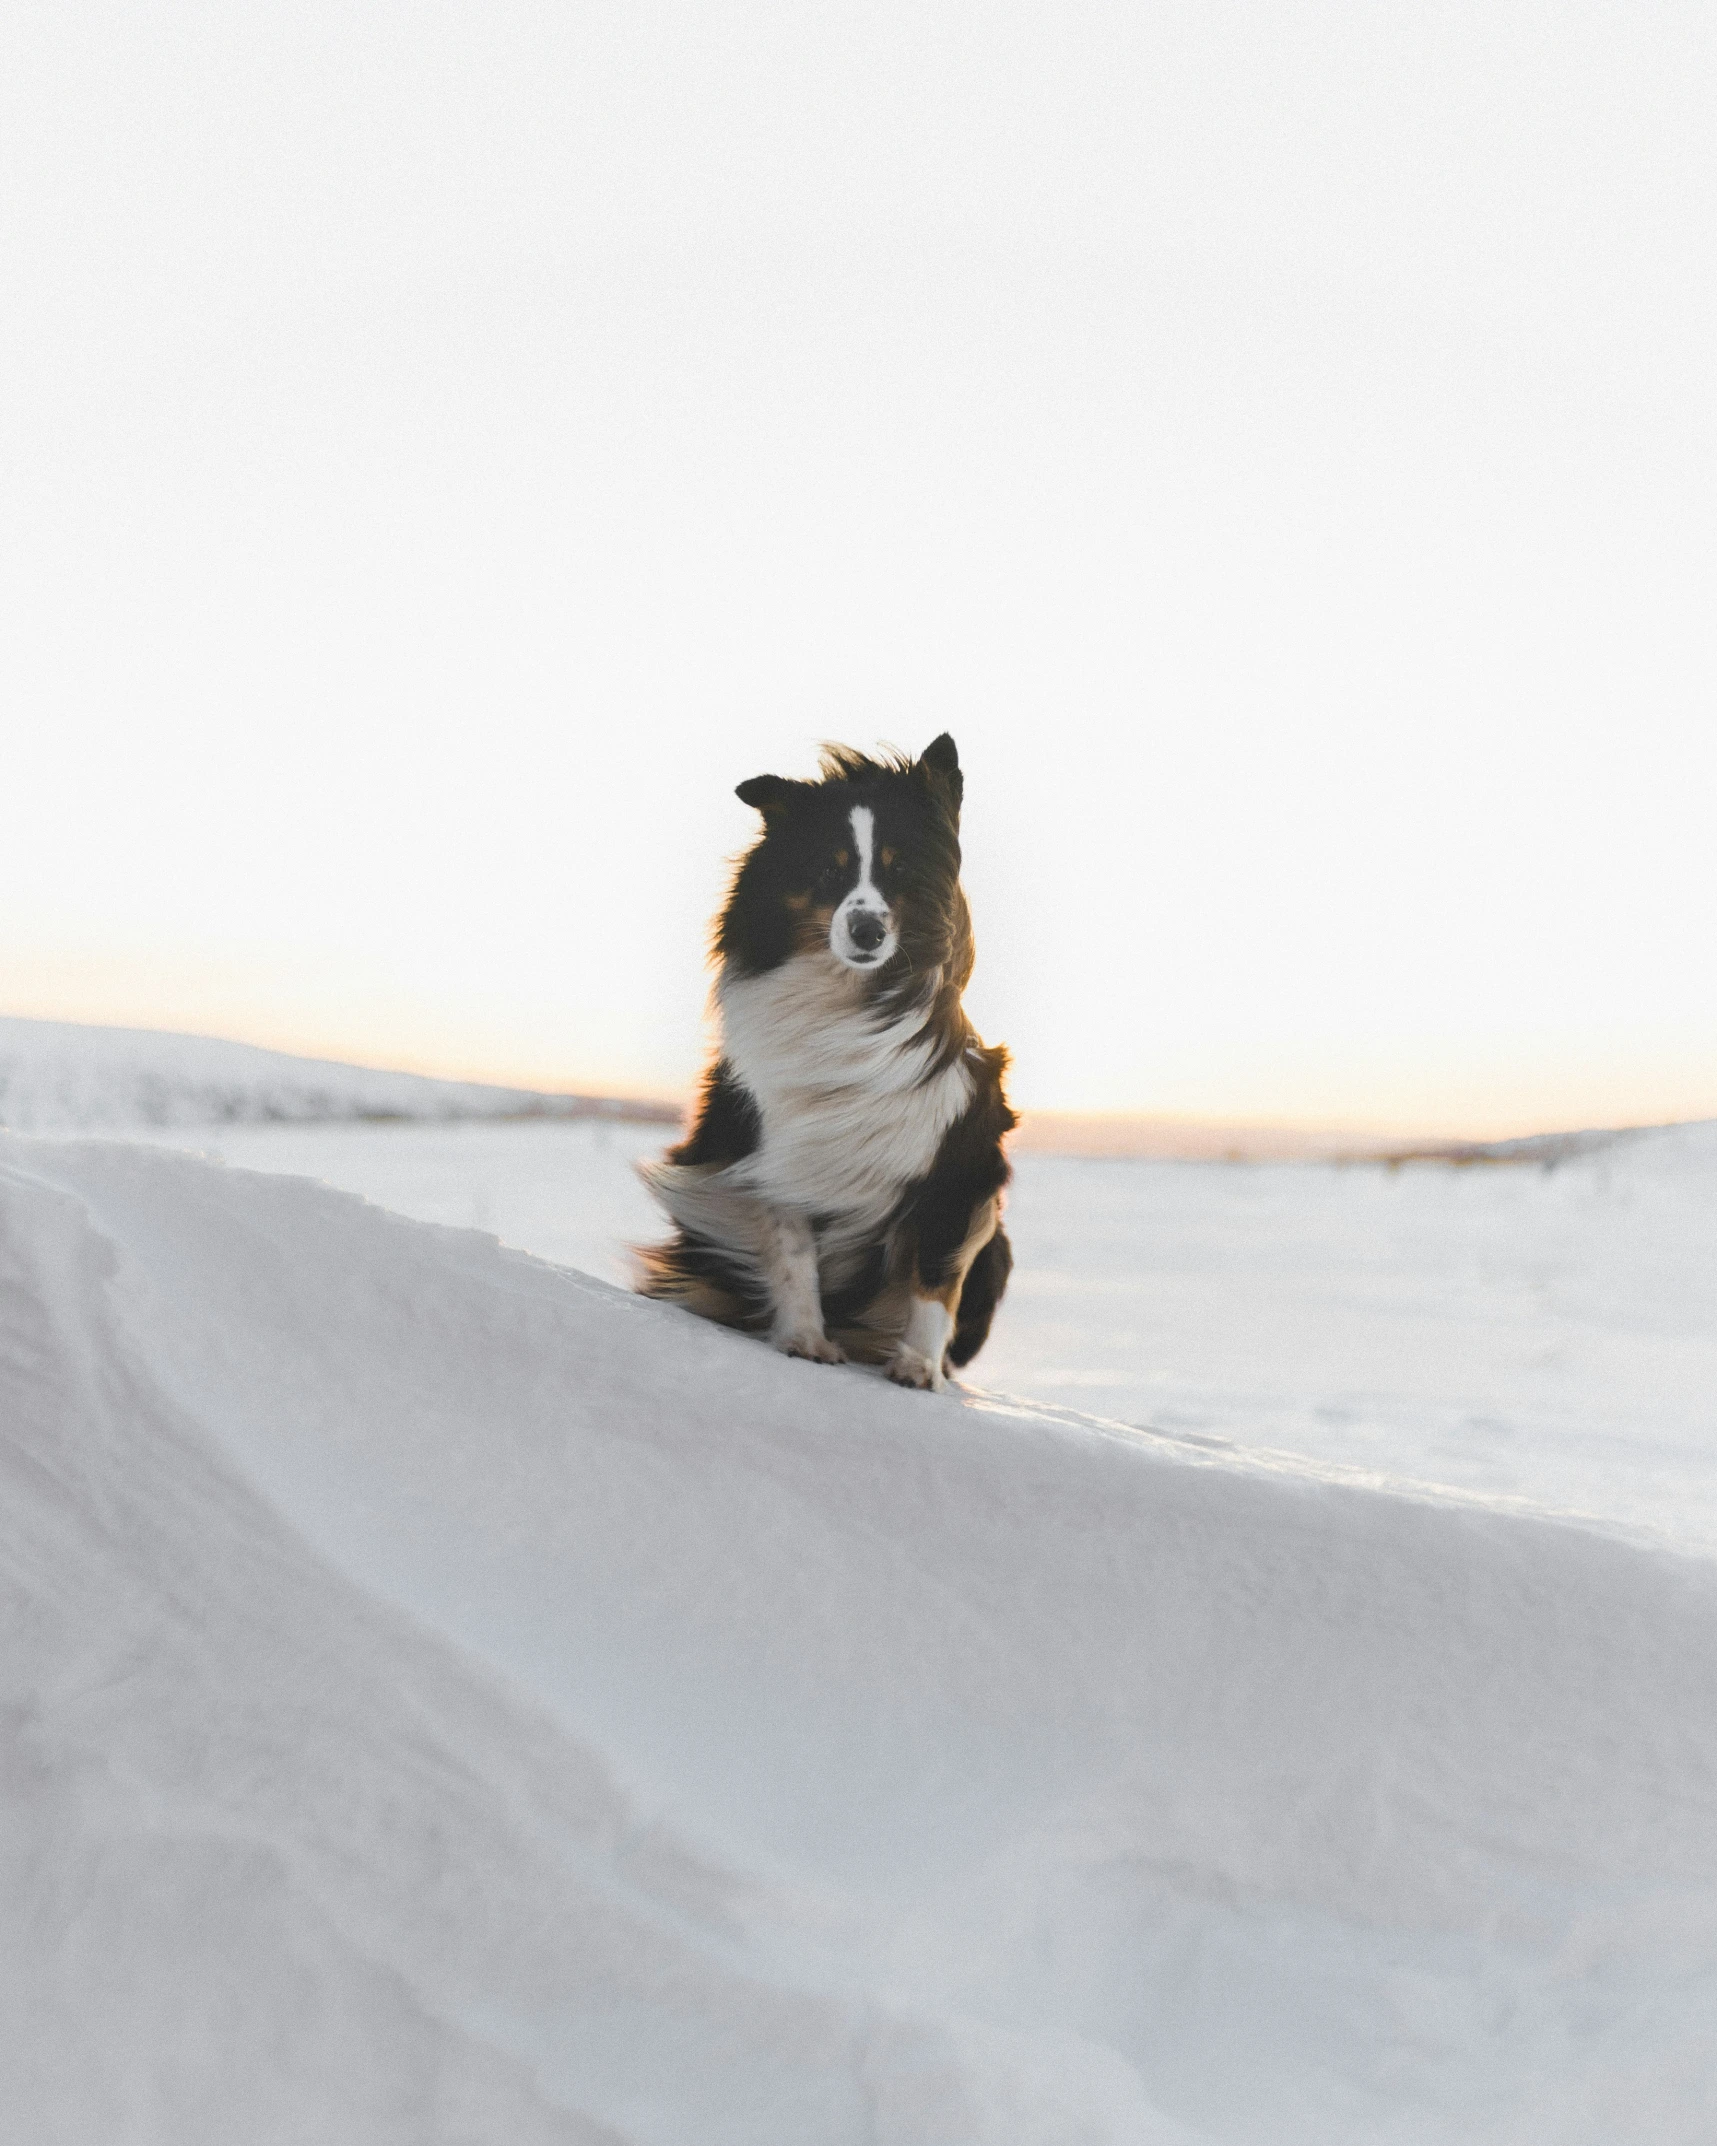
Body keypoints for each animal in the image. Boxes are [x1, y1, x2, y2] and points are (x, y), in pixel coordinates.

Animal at [643, 729, 1021, 1382]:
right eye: (827, 869)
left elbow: (935, 1277)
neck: (850, 997)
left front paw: (918, 1369)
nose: (868, 932)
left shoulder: (959, 1161)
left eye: (902, 871)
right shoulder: (775, 1151)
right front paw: (805, 1340)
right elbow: (792, 1252)